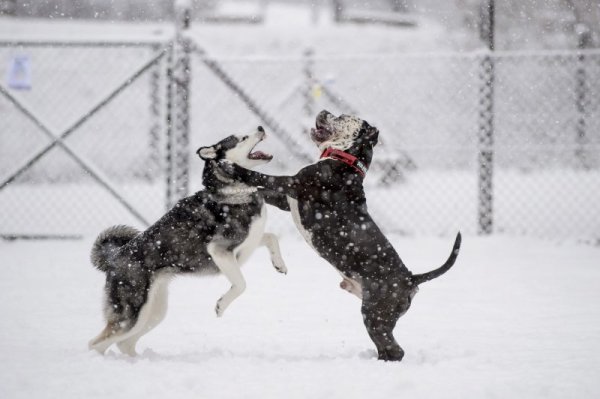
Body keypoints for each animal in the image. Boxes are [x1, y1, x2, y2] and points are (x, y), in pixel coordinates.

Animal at [88, 127, 288, 356]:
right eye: (241, 138)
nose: (261, 128)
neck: (234, 193)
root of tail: (114, 258)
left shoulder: (250, 242)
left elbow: (272, 237)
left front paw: (279, 264)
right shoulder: (220, 251)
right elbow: (241, 284)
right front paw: (221, 305)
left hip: (154, 311)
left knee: (124, 343)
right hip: (132, 312)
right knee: (97, 343)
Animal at [220, 110, 460, 362]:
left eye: (343, 116)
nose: (324, 111)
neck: (346, 161)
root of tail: (412, 278)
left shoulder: (294, 183)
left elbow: (261, 176)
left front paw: (231, 167)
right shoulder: (287, 199)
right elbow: (263, 190)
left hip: (375, 314)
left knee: (394, 349)